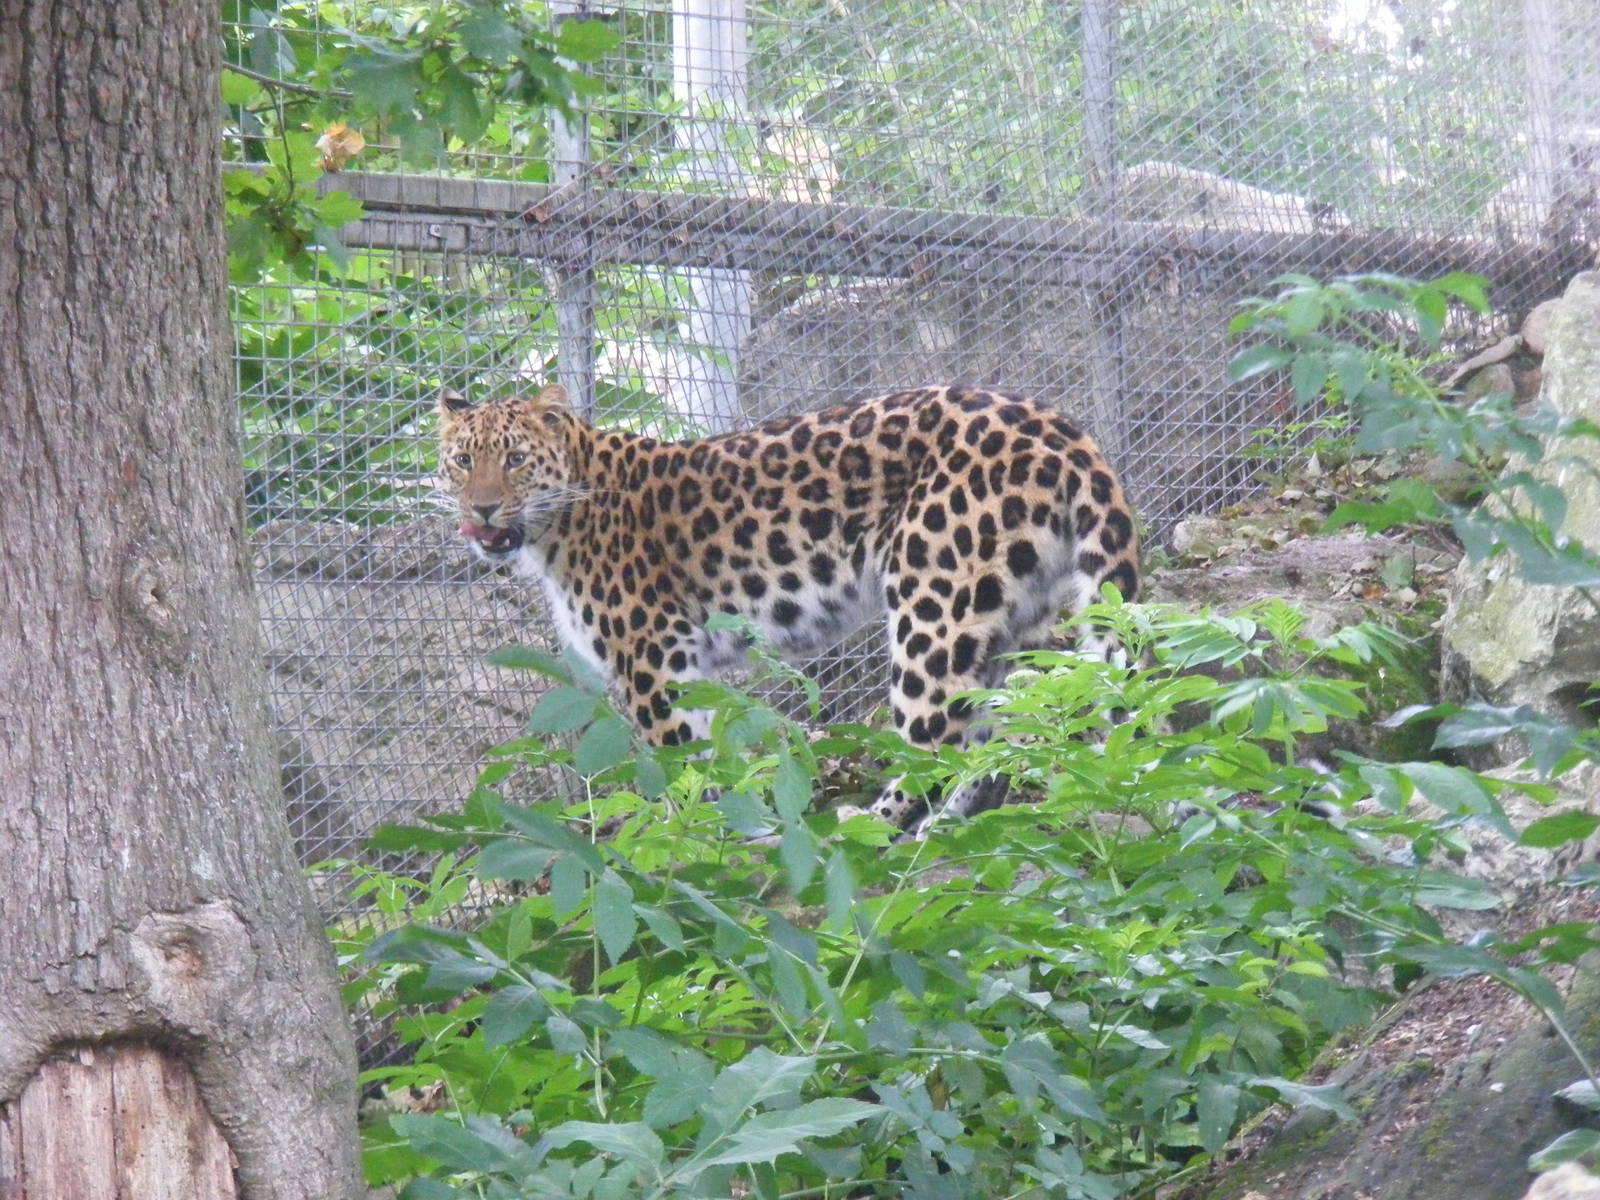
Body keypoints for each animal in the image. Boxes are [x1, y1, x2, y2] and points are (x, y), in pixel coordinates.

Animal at [438, 383, 1141, 832]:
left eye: (516, 459)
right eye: (462, 460)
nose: (482, 509)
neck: (555, 527)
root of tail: (1057, 427)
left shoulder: (652, 653)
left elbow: (674, 759)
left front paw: (687, 843)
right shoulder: (686, 663)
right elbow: (703, 754)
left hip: (935, 602)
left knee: (934, 736)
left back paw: (873, 823)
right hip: (1013, 620)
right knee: (993, 735)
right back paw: (946, 827)